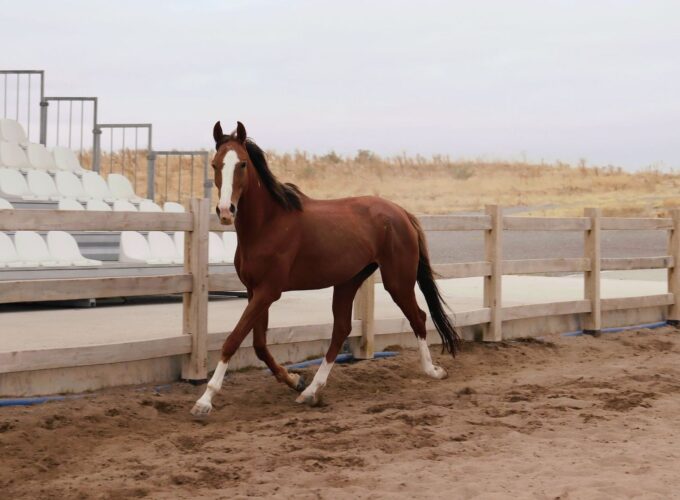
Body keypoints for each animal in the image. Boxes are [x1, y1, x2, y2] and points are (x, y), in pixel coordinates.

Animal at [190, 121, 460, 416]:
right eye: (215, 164)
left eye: (242, 164)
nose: (226, 210)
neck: (267, 225)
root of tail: (401, 212)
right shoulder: (254, 291)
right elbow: (259, 345)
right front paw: (294, 379)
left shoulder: (268, 291)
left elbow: (234, 339)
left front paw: (204, 400)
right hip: (348, 281)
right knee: (341, 329)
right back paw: (310, 391)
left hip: (397, 281)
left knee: (418, 317)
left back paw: (432, 371)